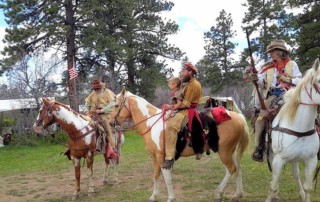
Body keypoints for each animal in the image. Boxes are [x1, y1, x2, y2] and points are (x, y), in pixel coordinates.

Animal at [110, 88, 250, 202]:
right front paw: (154, 196)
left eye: (116, 105)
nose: (111, 122)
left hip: (224, 151)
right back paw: (237, 194)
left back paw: (218, 193)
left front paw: (170, 198)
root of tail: (238, 117)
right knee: (238, 169)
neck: (152, 123)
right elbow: (155, 176)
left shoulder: (162, 157)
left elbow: (166, 177)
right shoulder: (154, 157)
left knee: (231, 169)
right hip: (230, 151)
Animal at [266, 57, 320, 201]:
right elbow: (273, 186)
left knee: (295, 174)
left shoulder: (311, 161)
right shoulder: (278, 160)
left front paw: (304, 194)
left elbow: (308, 187)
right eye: (318, 80)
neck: (300, 128)